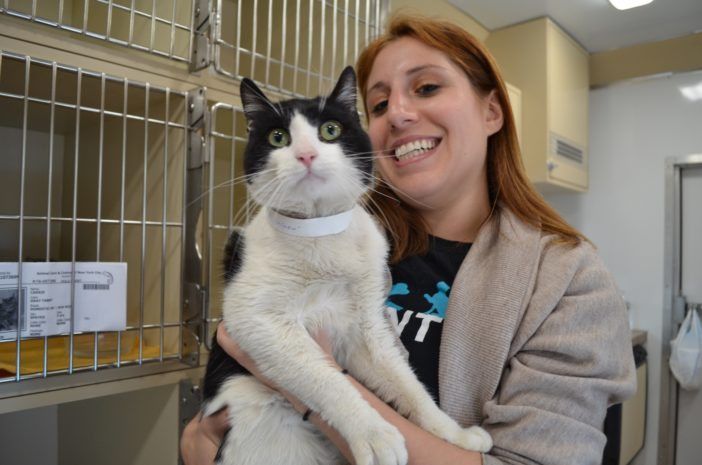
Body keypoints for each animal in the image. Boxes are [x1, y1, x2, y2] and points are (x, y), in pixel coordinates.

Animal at [201, 66, 492, 464]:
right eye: (278, 137)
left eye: (330, 130)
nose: (306, 155)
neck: (320, 236)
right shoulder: (253, 317)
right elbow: (324, 377)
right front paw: (374, 434)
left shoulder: (364, 322)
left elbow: (404, 379)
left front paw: (455, 434)